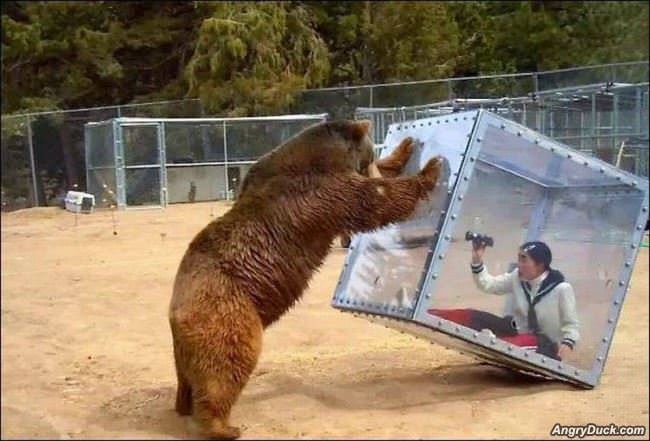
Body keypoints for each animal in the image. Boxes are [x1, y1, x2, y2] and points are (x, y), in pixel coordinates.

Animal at [168, 119, 442, 439]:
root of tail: (176, 311)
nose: (372, 161)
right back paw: (224, 426)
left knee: (189, 376)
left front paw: (405, 148)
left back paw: (184, 405)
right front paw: (431, 169)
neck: (323, 153)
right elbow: (375, 200)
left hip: (188, 343)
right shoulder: (323, 194)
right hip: (227, 312)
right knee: (226, 366)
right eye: (368, 154)